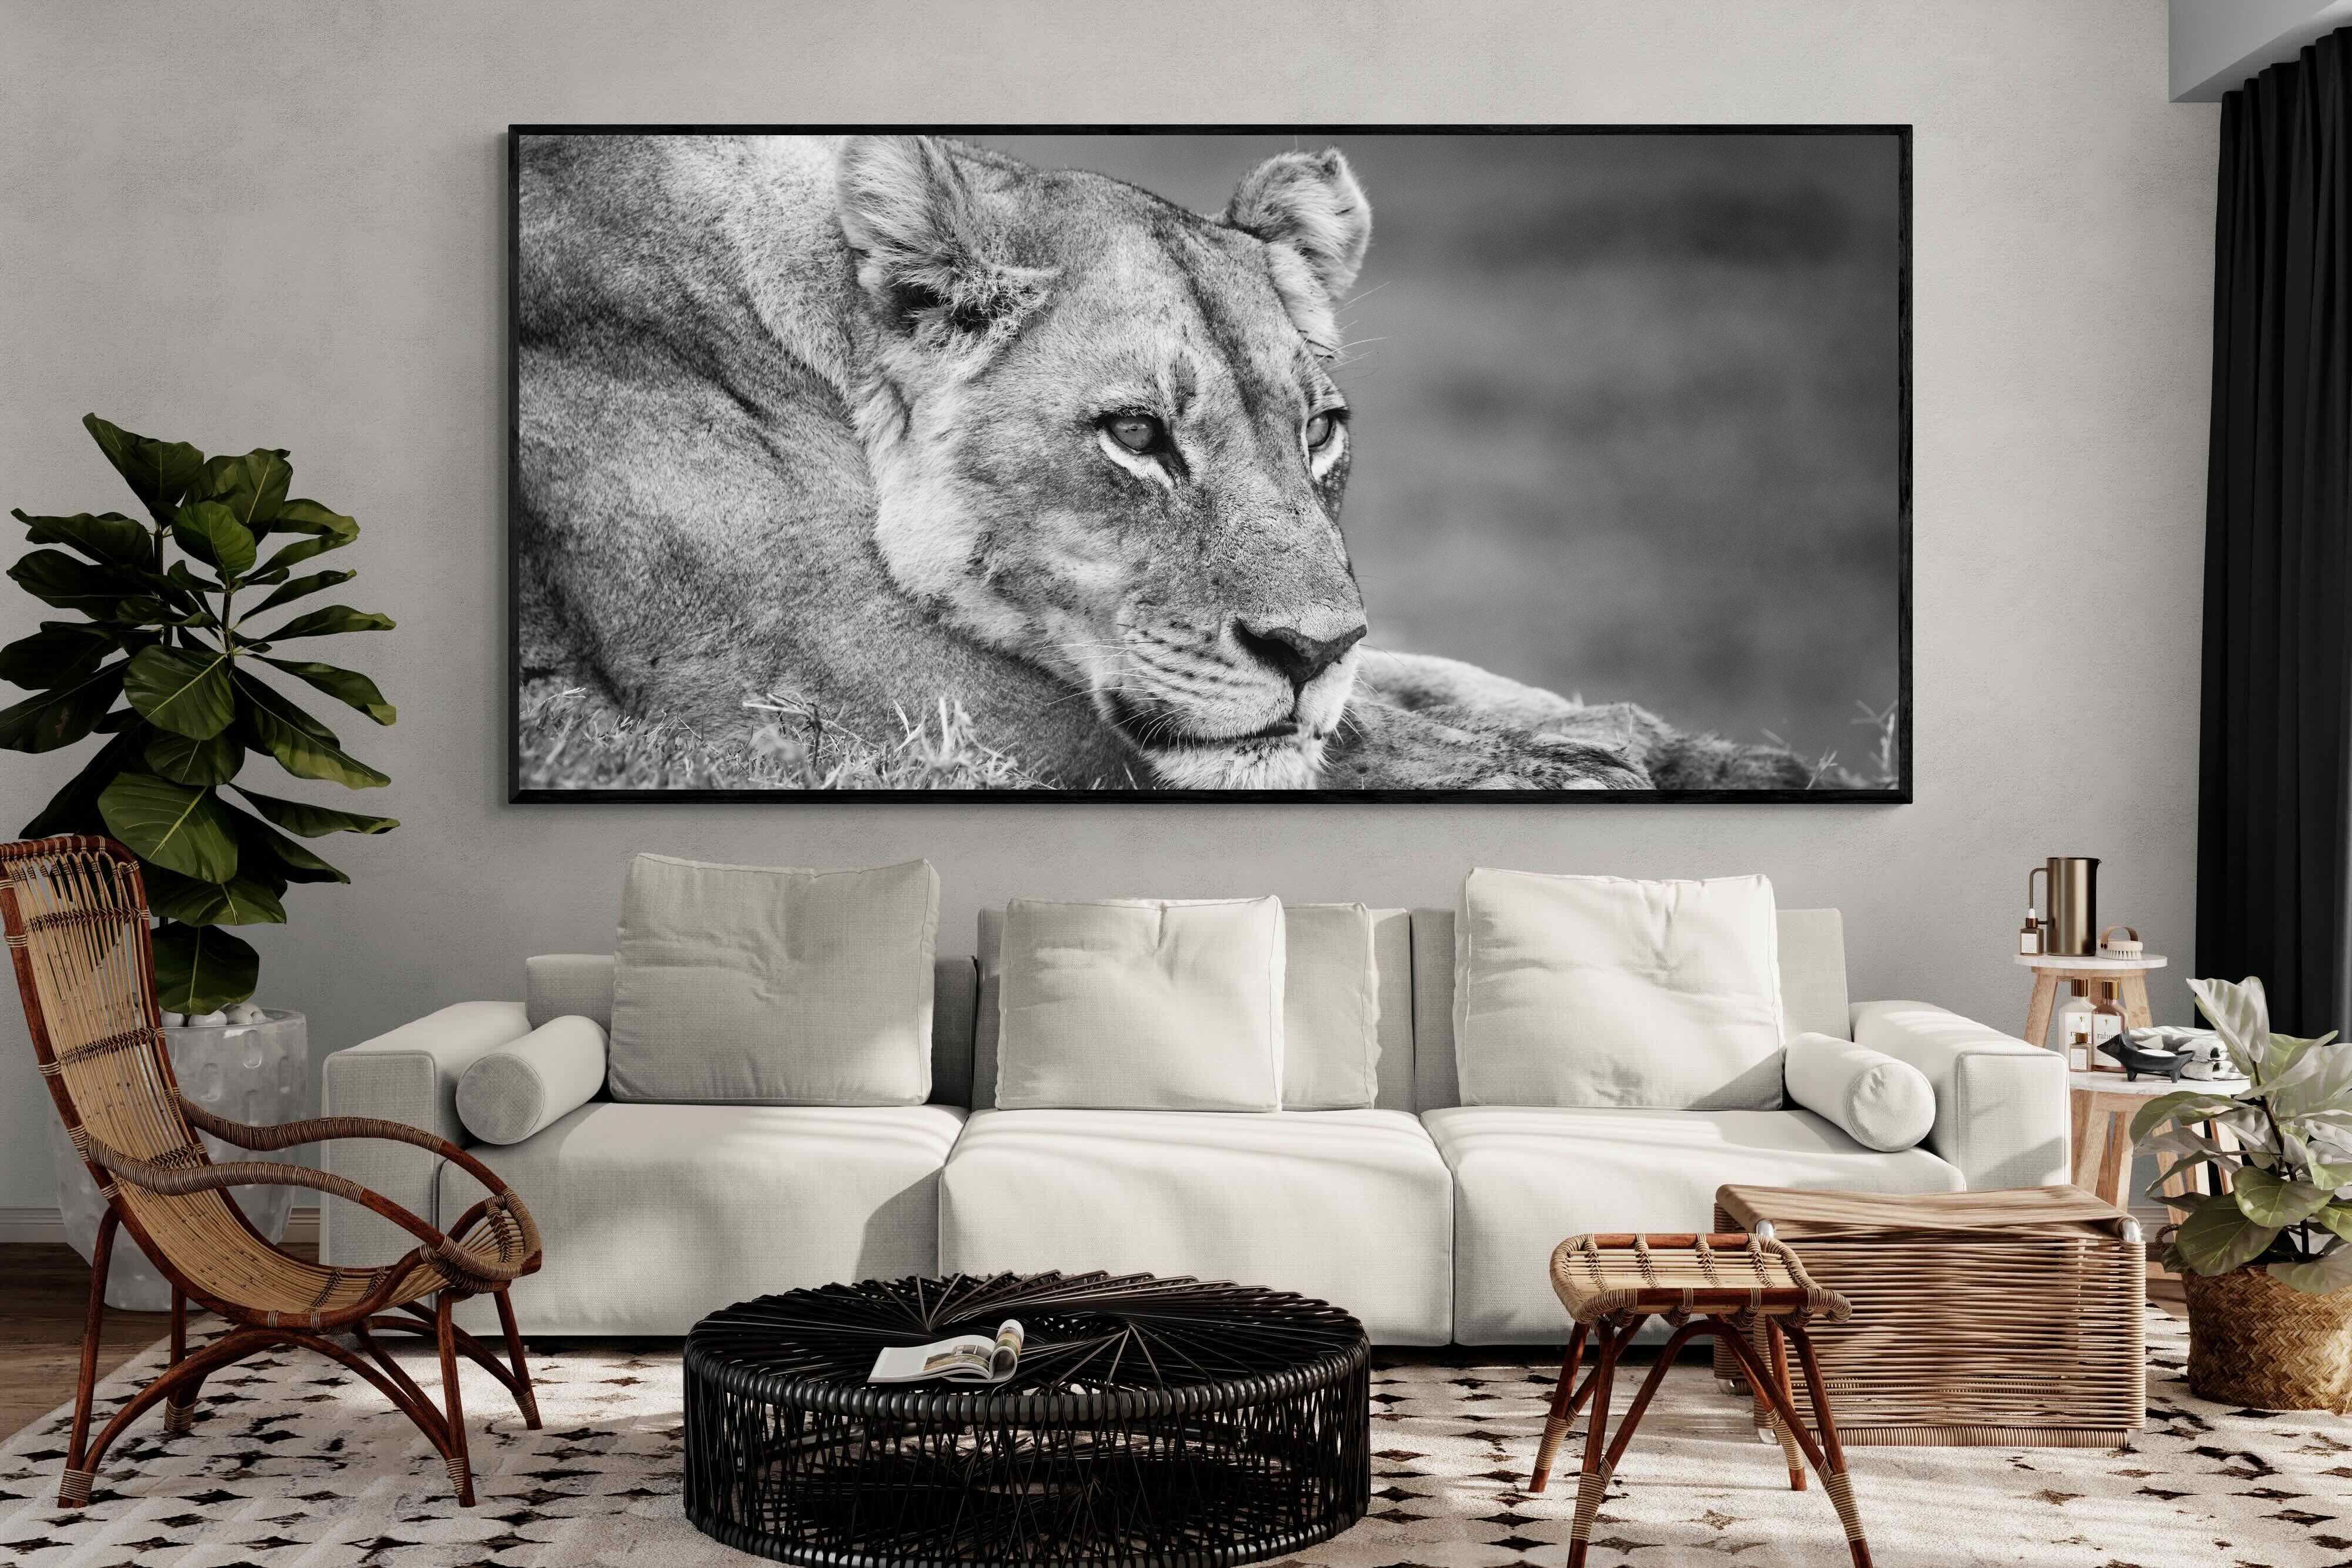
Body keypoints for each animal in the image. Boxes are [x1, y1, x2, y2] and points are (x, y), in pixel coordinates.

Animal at [516, 133, 1813, 791]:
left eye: (1318, 430)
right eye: (1137, 436)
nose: (1305, 653)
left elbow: (1411, 681)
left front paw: (1704, 752)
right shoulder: (842, 698)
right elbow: (1355, 739)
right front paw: (1578, 770)